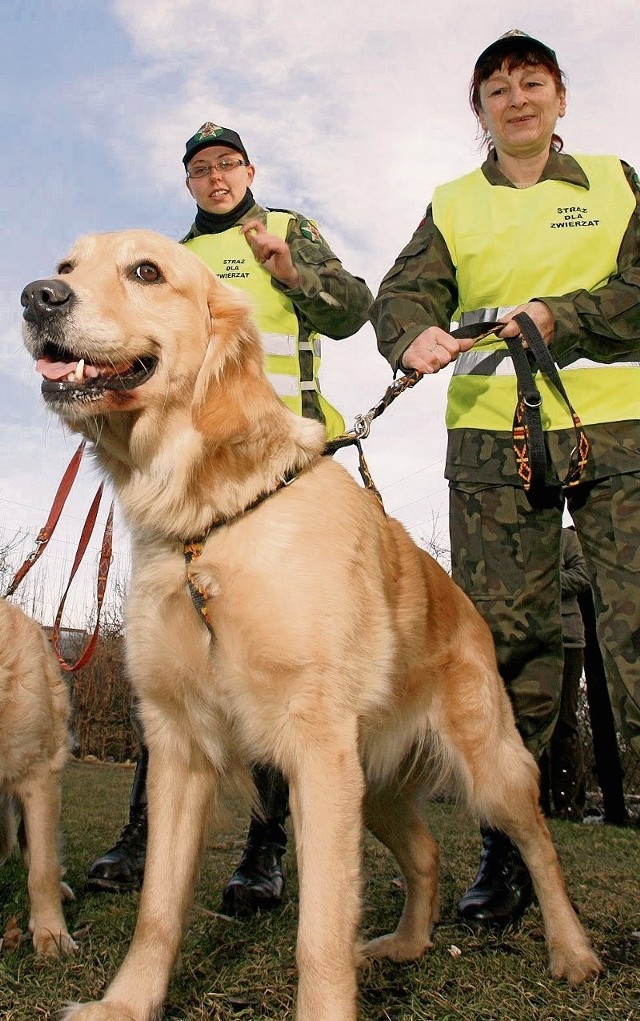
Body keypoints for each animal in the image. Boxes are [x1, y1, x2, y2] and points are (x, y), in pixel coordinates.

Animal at [20, 233, 600, 1021]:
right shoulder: (180, 743)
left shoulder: (317, 743)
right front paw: (125, 1004)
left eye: (146, 272)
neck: (210, 523)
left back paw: (572, 952)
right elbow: (158, 910)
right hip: (375, 784)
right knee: (426, 852)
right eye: (68, 267)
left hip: (491, 767)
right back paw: (405, 944)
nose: (36, 297)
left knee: (541, 849)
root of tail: (459, 595)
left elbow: (320, 930)